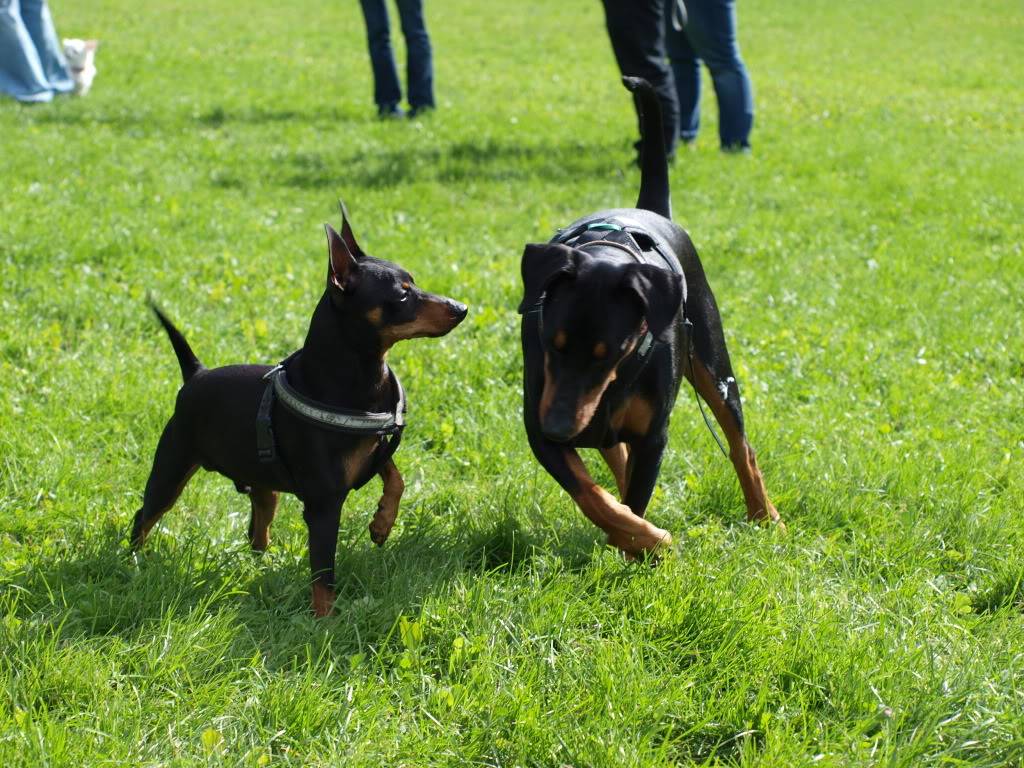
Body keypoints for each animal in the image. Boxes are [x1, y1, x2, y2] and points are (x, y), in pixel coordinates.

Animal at [131, 207, 468, 618]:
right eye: (403, 293)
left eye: (413, 283)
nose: (461, 308)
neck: (362, 376)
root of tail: (196, 373)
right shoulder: (324, 506)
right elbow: (323, 572)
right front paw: (325, 621)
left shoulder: (375, 448)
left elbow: (396, 478)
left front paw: (382, 524)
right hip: (172, 468)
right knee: (144, 516)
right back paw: (133, 563)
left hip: (262, 485)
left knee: (257, 530)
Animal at [520, 78, 782, 561]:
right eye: (551, 342)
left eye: (611, 352)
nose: (560, 427)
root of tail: (652, 209)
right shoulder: (541, 418)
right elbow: (594, 495)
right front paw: (646, 538)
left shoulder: (653, 433)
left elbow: (633, 498)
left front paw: (641, 547)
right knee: (617, 458)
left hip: (713, 362)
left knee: (740, 444)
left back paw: (765, 515)